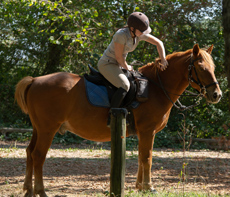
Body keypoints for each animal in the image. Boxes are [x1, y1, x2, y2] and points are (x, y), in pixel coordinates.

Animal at [15, 43, 222, 196]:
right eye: (201, 68)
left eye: (213, 68)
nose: (216, 95)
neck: (156, 87)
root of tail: (35, 80)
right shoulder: (147, 131)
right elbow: (147, 158)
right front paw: (148, 187)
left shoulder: (145, 133)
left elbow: (141, 157)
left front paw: (139, 186)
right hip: (48, 129)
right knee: (38, 156)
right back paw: (40, 191)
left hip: (38, 129)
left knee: (29, 152)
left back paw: (28, 189)